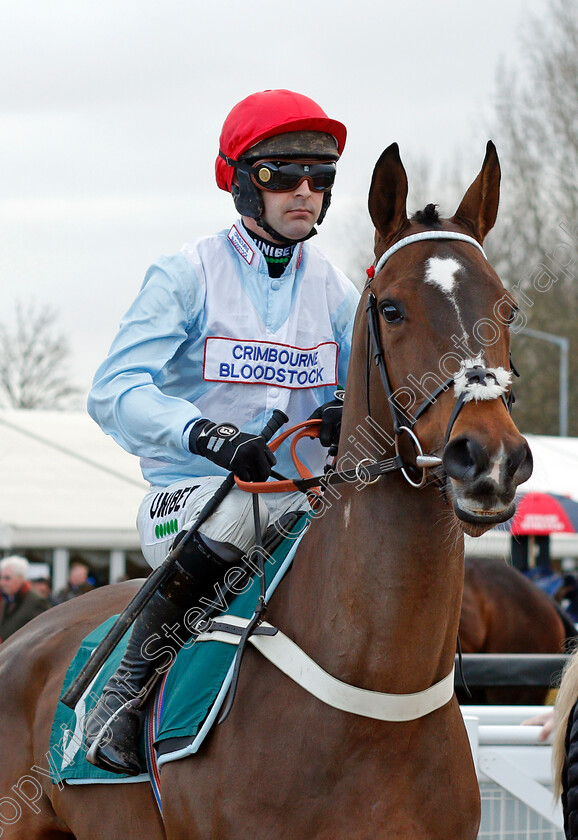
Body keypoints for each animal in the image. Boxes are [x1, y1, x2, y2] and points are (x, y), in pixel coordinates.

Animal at [0, 141, 532, 836]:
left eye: (507, 307)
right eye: (391, 308)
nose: (490, 458)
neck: (378, 696)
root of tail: (27, 632)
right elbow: (120, 381)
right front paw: (237, 445)